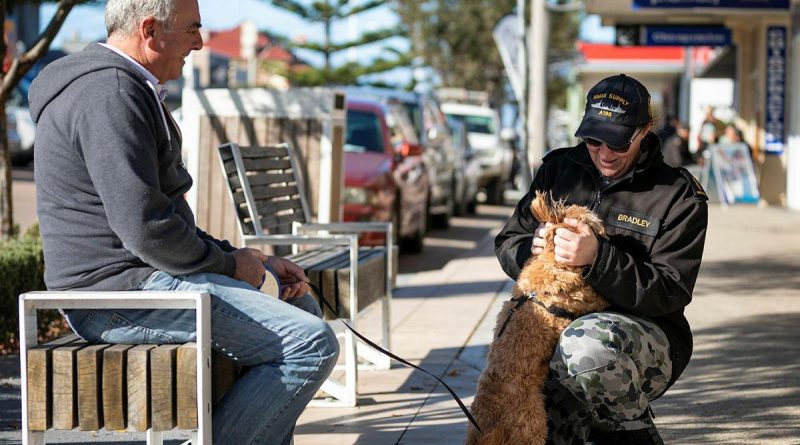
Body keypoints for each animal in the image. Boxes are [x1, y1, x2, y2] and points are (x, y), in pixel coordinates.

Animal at [466, 191, 608, 444]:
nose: (604, 229)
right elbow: (597, 296)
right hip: (533, 427)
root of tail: (490, 429)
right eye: (588, 219)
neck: (551, 259)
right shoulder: (585, 296)